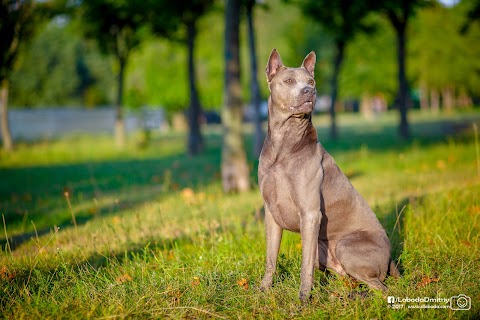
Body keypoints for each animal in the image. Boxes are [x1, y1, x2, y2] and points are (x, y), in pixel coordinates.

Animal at [256, 48, 400, 302]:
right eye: (289, 81)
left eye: (311, 81)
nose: (309, 91)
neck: (284, 145)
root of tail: (390, 257)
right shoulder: (271, 214)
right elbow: (270, 258)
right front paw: (264, 290)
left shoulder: (310, 214)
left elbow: (304, 266)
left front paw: (303, 298)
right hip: (325, 251)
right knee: (351, 279)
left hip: (346, 245)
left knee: (381, 288)